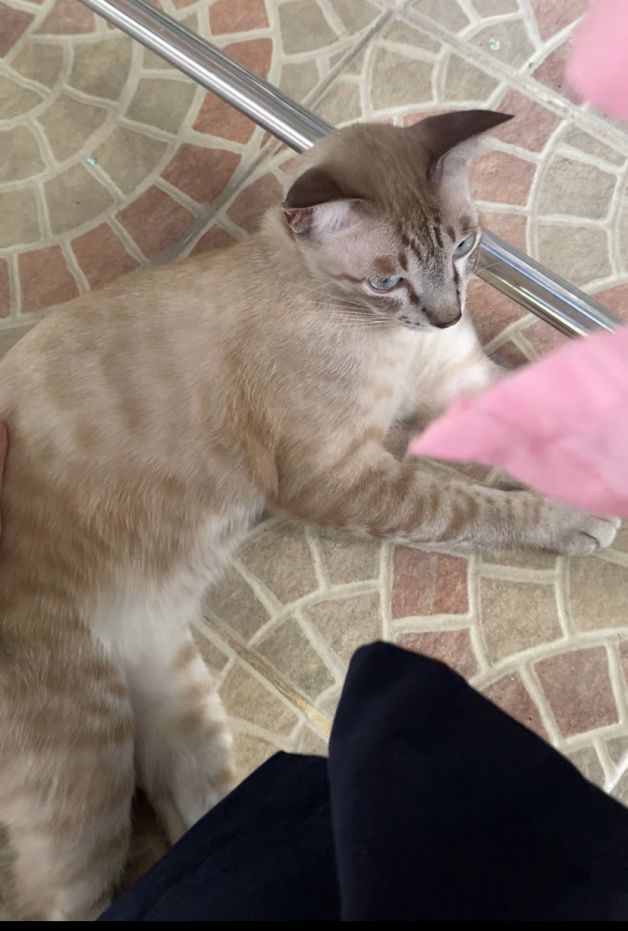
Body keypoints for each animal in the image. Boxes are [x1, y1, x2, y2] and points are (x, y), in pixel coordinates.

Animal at [0, 110, 618, 920]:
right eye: (386, 279)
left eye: (463, 245)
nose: (446, 312)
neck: (388, 333)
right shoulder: (337, 478)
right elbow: (473, 506)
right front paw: (570, 518)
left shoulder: (456, 383)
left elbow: (545, 420)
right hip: (84, 761)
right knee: (65, 901)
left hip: (174, 703)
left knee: (205, 820)